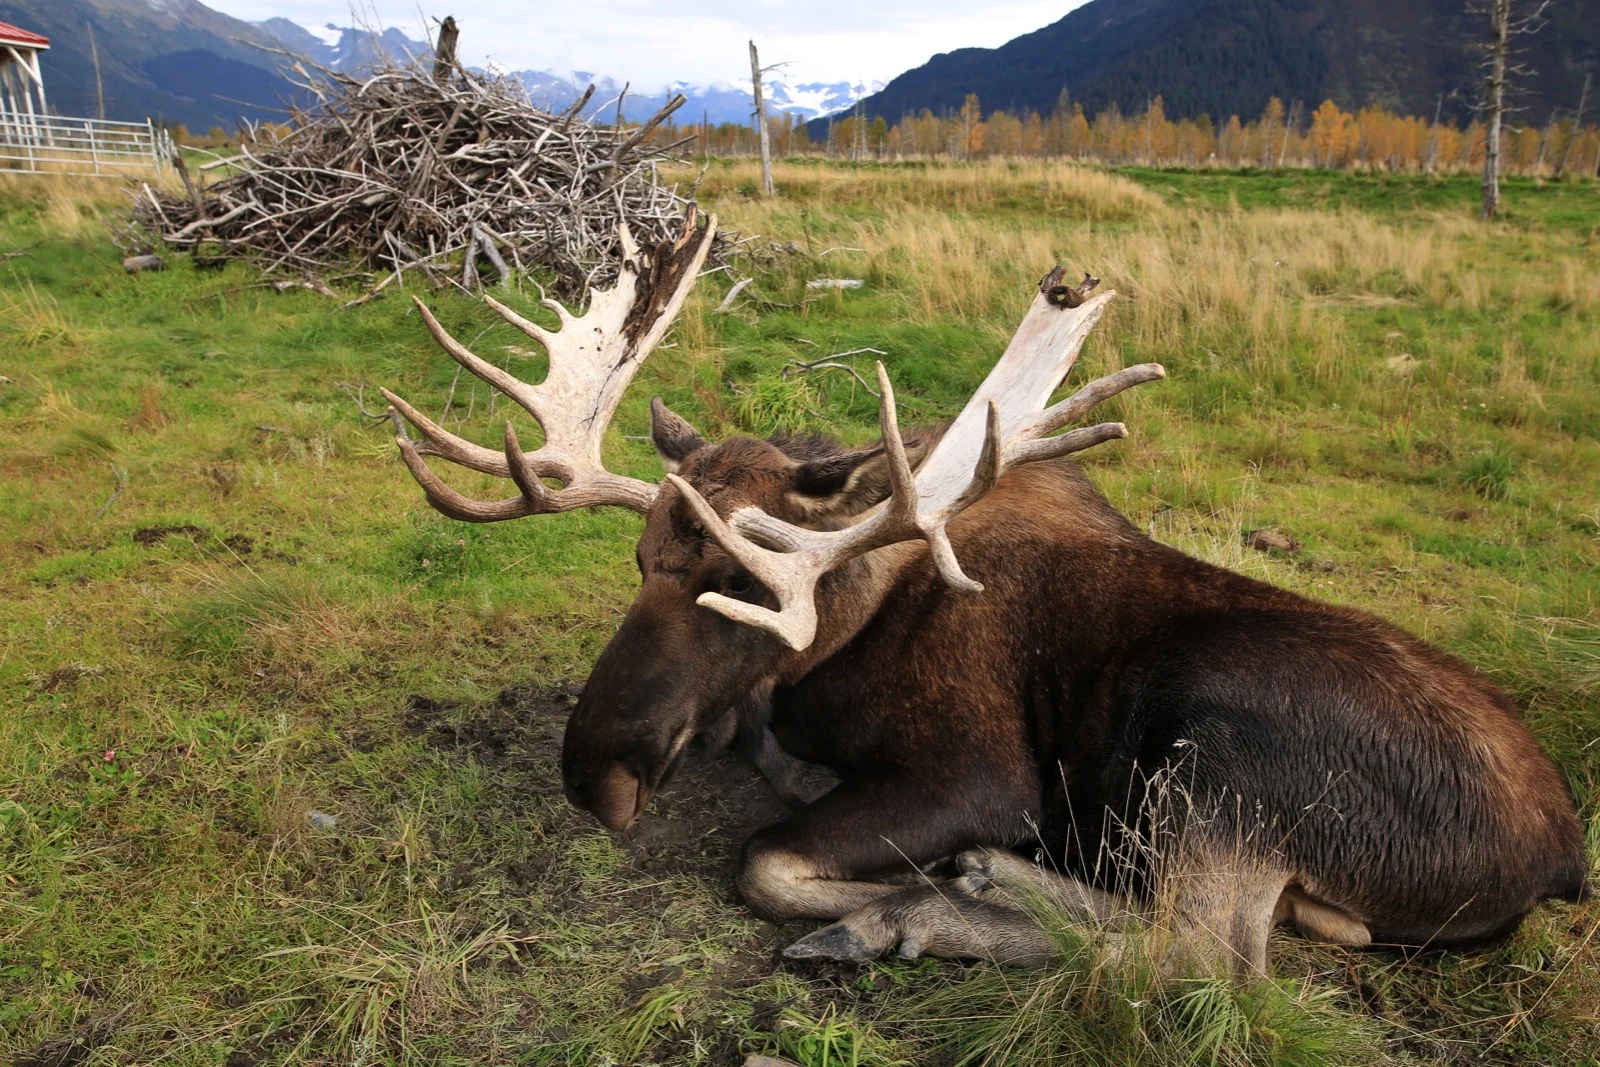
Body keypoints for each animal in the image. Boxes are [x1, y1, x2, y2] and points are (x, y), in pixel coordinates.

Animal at [383, 211, 1587, 978]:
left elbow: (765, 857)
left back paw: (930, 905)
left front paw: (895, 888)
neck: (850, 628)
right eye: (640, 559)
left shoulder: (981, 768)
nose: (593, 772)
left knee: (1202, 958)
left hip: (1214, 751)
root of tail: (1564, 860)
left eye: (742, 582)